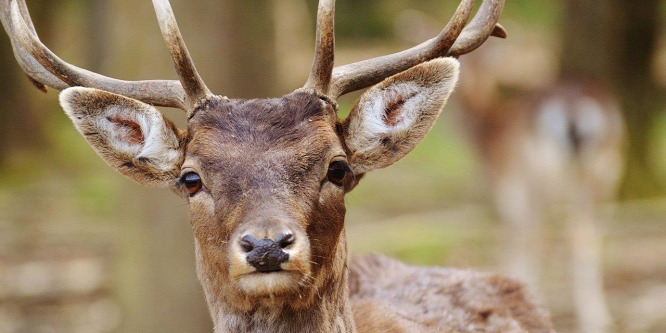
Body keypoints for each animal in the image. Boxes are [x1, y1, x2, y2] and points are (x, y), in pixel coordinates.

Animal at [456, 46, 624, 332]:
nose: (462, 83)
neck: (488, 139)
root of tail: (574, 108)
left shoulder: (512, 187)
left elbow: (518, 238)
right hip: (605, 171)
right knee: (589, 233)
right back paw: (598, 318)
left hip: (548, 174)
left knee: (558, 233)